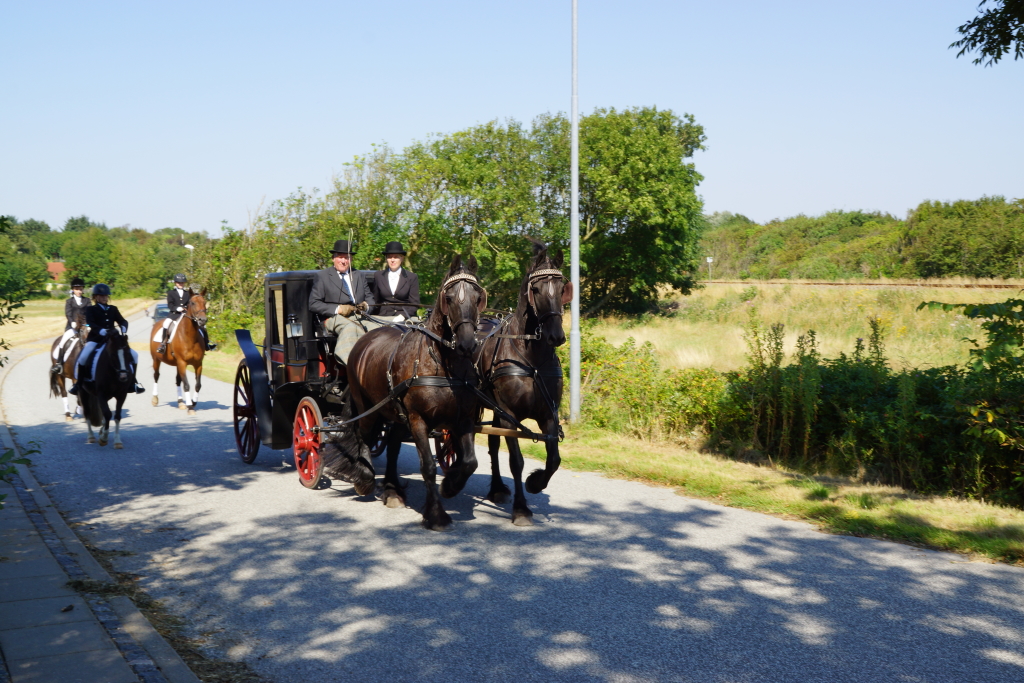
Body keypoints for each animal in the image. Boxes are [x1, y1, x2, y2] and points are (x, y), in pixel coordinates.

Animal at [344, 253, 487, 532]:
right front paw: (436, 515)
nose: (466, 344)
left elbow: (470, 462)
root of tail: (365, 339)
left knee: (393, 445)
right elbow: (428, 466)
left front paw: (450, 486)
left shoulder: (463, 419)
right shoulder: (419, 420)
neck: (442, 364)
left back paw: (392, 490)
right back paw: (365, 479)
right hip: (368, 407)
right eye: (448, 297)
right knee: (362, 436)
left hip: (397, 415)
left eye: (478, 297)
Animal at [477, 237, 573, 528]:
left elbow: (554, 458)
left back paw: (497, 488)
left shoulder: (549, 414)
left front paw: (535, 482)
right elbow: (516, 461)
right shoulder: (510, 415)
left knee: (493, 444)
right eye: (536, 289)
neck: (532, 361)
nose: (556, 336)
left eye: (562, 288)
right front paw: (521, 508)